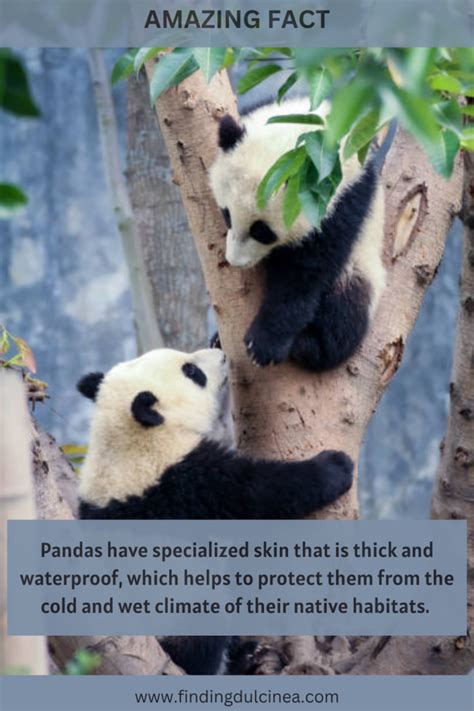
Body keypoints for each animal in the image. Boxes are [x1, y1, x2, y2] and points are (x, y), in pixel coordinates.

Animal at [77, 346, 354, 674]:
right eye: (192, 372)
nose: (221, 355)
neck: (127, 442)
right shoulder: (182, 488)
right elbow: (257, 494)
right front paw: (334, 467)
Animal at [209, 97, 386, 371]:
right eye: (227, 214)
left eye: (262, 231)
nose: (235, 261)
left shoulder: (341, 206)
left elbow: (304, 276)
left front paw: (264, 344)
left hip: (361, 267)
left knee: (346, 307)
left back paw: (309, 346)